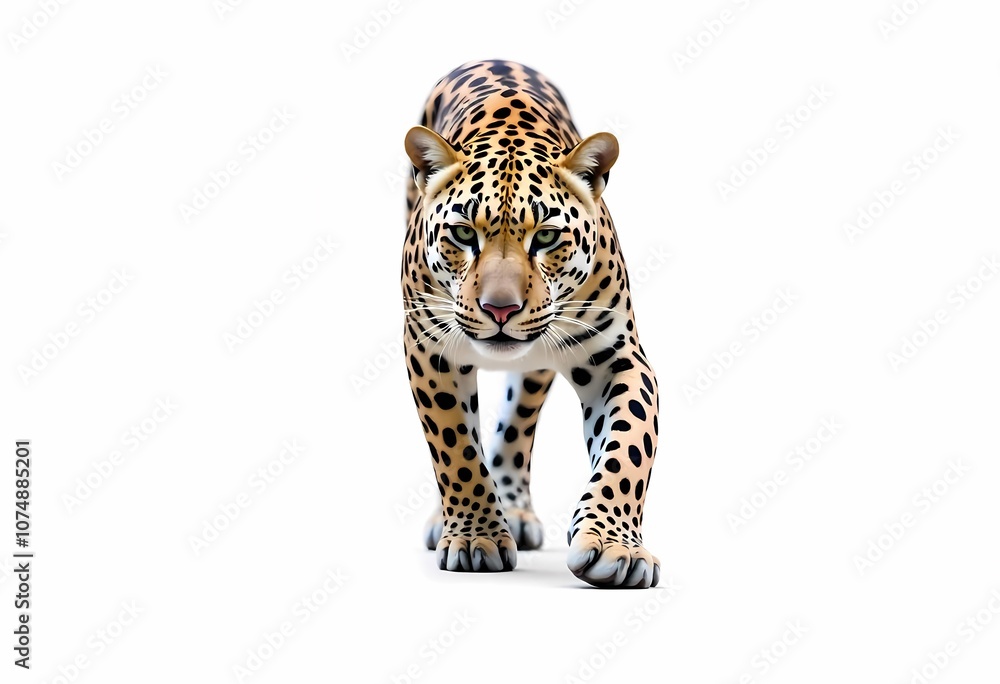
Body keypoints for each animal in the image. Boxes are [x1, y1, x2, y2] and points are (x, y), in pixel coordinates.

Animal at [401, 60, 661, 588]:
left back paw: (516, 509)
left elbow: (629, 445)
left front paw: (615, 547)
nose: (500, 309)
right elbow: (456, 449)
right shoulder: (428, 348)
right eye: (463, 233)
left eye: (545, 237)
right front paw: (475, 538)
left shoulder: (617, 356)